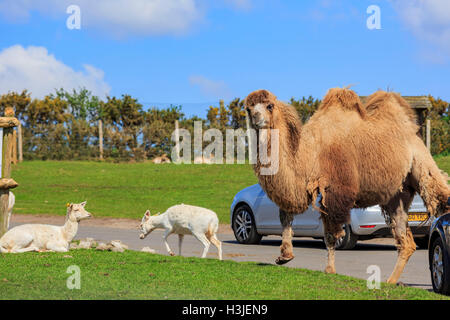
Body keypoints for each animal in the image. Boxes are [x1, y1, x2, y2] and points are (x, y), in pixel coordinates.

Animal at [246, 88, 450, 284]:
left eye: (270, 105)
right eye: (248, 108)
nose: (256, 117)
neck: (311, 154)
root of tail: (413, 132)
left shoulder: (335, 191)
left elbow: (331, 234)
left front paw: (330, 270)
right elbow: (286, 216)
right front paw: (284, 256)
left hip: (422, 164)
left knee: (440, 198)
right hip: (396, 195)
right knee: (405, 239)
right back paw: (390, 281)